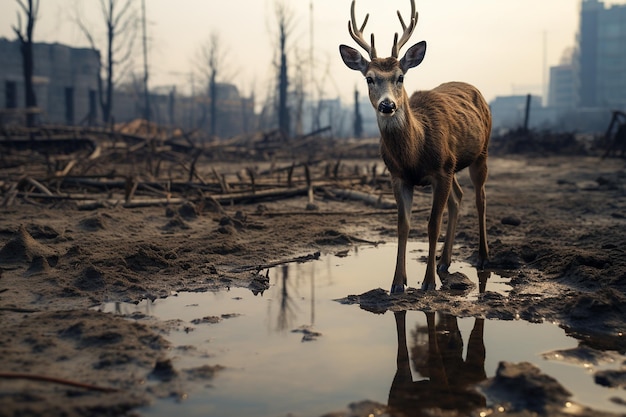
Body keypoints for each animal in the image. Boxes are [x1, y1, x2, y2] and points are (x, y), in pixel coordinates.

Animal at [338, 0, 490, 292]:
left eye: (400, 77)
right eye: (369, 78)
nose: (388, 105)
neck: (414, 153)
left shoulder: (440, 171)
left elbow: (431, 224)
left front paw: (428, 282)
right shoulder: (399, 176)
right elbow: (403, 225)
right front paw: (398, 283)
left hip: (481, 152)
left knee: (480, 198)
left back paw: (483, 258)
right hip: (453, 165)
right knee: (458, 198)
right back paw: (445, 261)